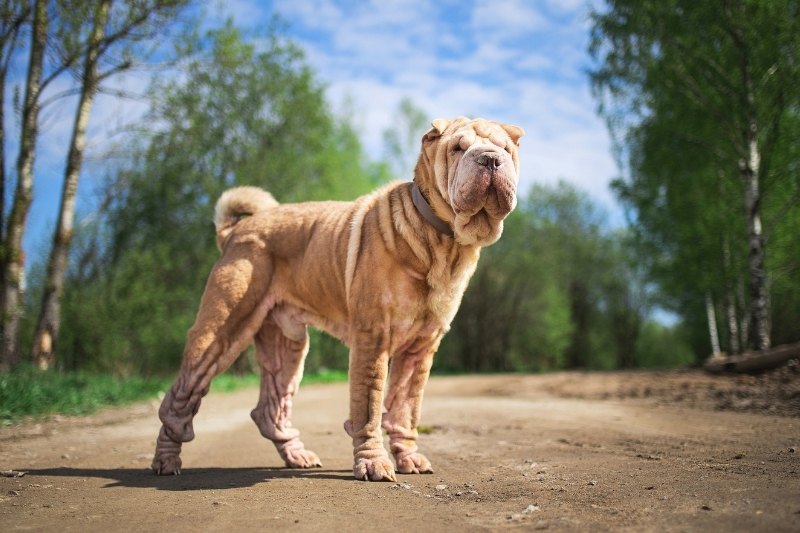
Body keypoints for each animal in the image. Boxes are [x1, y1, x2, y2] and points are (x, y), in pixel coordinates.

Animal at [152, 116, 520, 482]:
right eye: (458, 148)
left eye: (505, 148)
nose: (490, 159)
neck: (442, 241)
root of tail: (234, 232)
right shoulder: (373, 339)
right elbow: (369, 405)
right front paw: (373, 463)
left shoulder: (421, 348)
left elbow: (405, 409)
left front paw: (408, 457)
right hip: (220, 333)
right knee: (178, 401)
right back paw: (166, 461)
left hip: (287, 344)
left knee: (270, 409)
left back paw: (297, 455)